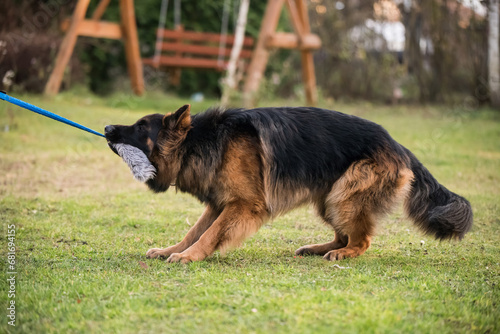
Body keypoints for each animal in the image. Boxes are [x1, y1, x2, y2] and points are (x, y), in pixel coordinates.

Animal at [105, 105, 472, 264]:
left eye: (141, 127)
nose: (107, 127)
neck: (202, 141)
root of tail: (398, 145)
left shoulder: (242, 205)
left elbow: (209, 235)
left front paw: (189, 257)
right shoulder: (220, 204)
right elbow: (194, 231)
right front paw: (173, 250)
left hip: (344, 194)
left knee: (362, 240)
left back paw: (344, 253)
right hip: (329, 198)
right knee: (343, 233)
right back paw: (319, 248)